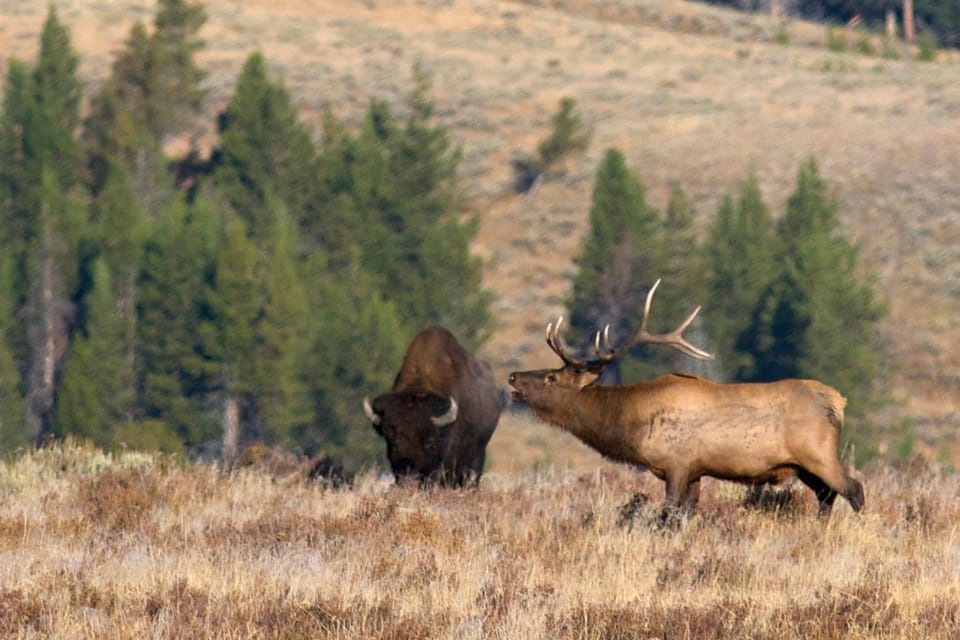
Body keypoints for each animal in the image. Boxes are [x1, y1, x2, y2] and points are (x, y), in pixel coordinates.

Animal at [510, 280, 864, 524]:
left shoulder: (677, 464)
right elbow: (686, 516)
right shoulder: (695, 470)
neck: (633, 424)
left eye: (551, 378)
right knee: (826, 495)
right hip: (803, 466)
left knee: (853, 489)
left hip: (819, 454)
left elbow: (668, 515)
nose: (513, 377)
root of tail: (838, 401)